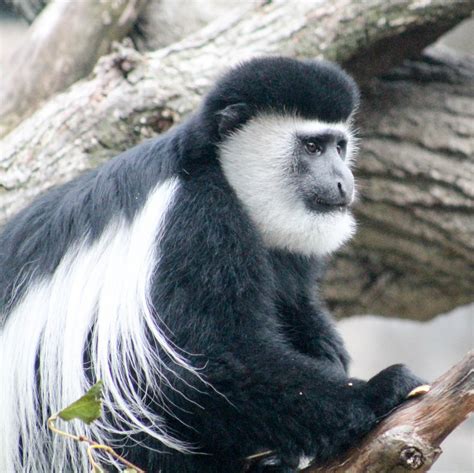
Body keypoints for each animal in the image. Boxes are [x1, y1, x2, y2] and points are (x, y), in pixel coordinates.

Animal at [0, 58, 422, 472]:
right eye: (313, 147)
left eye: (339, 146)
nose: (342, 182)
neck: (212, 167)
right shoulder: (196, 220)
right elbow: (210, 363)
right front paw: (378, 392)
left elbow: (294, 308)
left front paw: (330, 351)